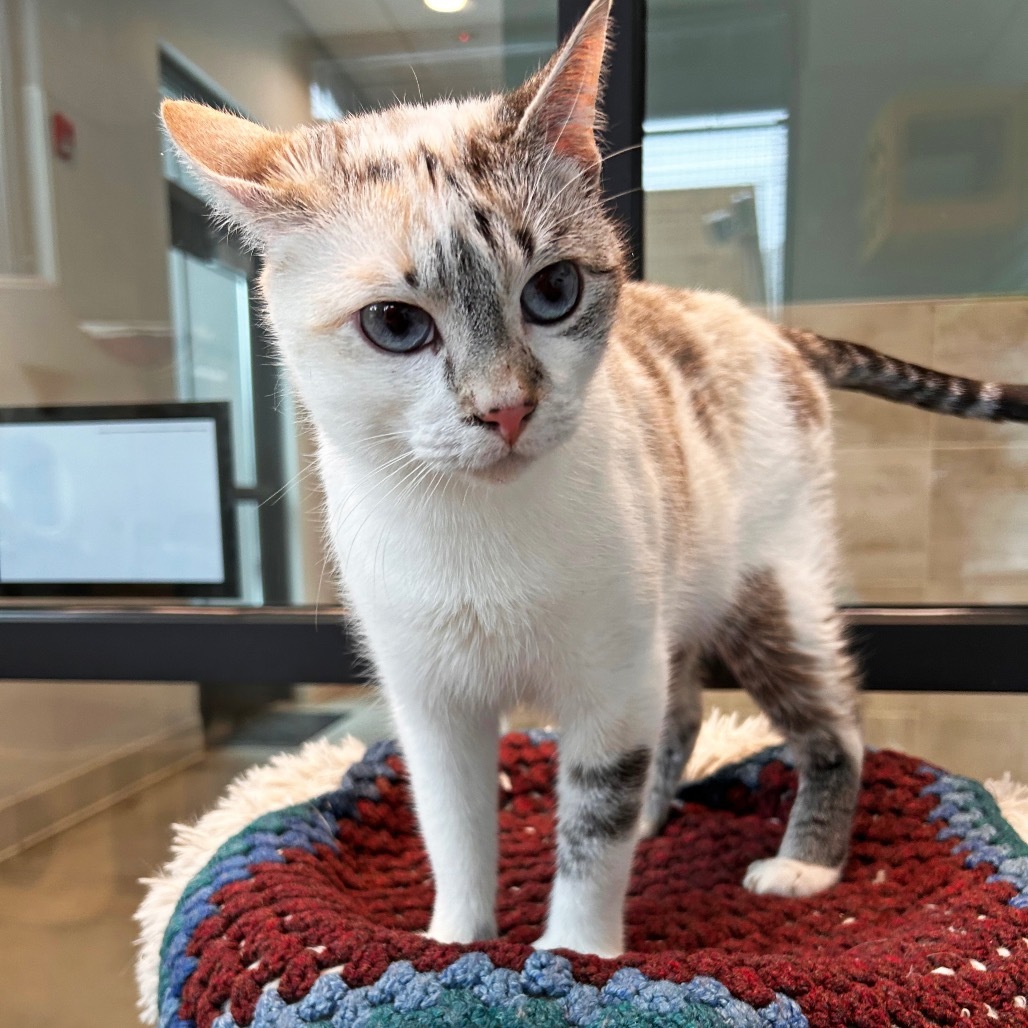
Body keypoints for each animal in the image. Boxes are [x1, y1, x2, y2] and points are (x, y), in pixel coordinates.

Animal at [160, 2, 1028, 962]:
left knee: (831, 722)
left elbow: (591, 828)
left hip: (766, 587)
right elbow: (454, 829)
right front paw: (454, 941)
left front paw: (576, 954)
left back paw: (805, 864)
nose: (504, 409)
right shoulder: (433, 703)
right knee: (681, 710)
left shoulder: (611, 682)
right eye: (394, 323)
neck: (476, 528)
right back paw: (659, 815)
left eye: (554, 291)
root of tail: (773, 332)